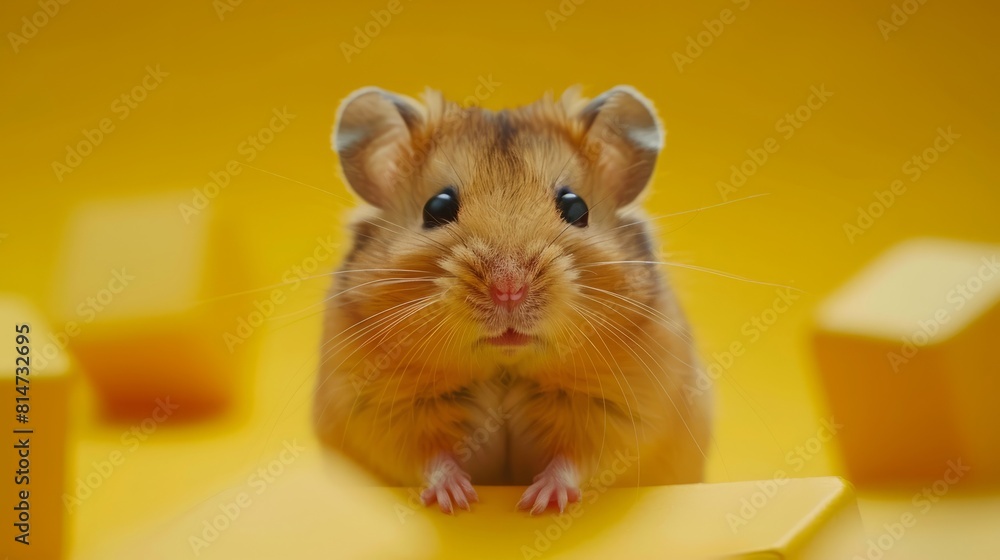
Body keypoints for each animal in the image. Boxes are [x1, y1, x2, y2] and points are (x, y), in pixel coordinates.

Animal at [312, 85, 712, 515]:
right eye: (436, 207)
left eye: (576, 206)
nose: (508, 287)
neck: (504, 366)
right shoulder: (377, 410)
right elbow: (426, 456)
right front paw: (458, 500)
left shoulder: (626, 410)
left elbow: (578, 458)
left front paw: (539, 503)